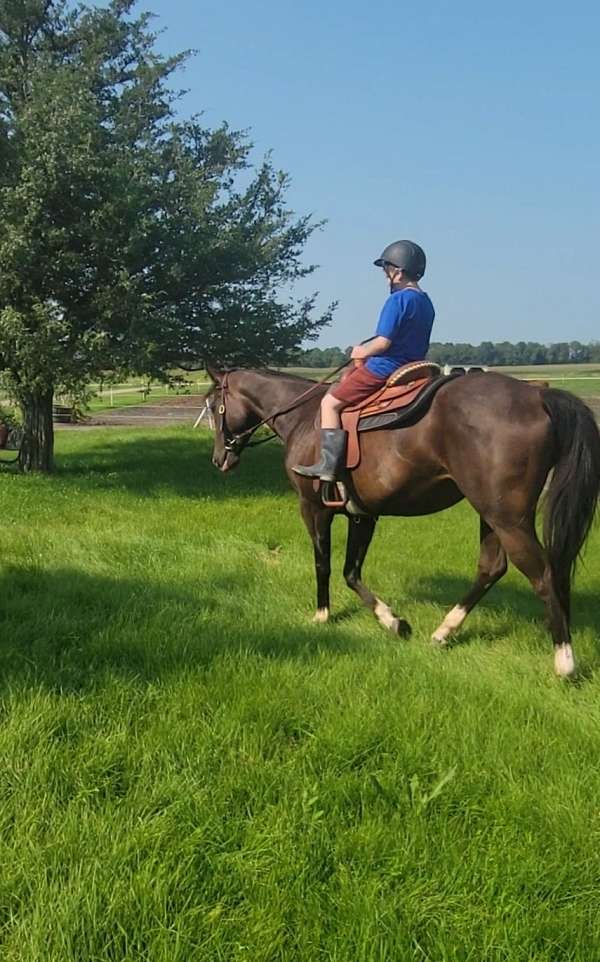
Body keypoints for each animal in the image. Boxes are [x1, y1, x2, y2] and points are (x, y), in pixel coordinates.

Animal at [206, 366, 600, 676]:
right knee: (493, 568)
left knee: (542, 573)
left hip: (508, 519)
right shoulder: (363, 515)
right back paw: (444, 632)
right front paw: (393, 622)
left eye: (213, 407)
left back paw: (564, 660)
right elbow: (351, 572)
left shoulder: (313, 508)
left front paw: (322, 614)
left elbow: (323, 564)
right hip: (492, 515)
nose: (219, 459)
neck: (304, 417)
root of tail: (536, 394)